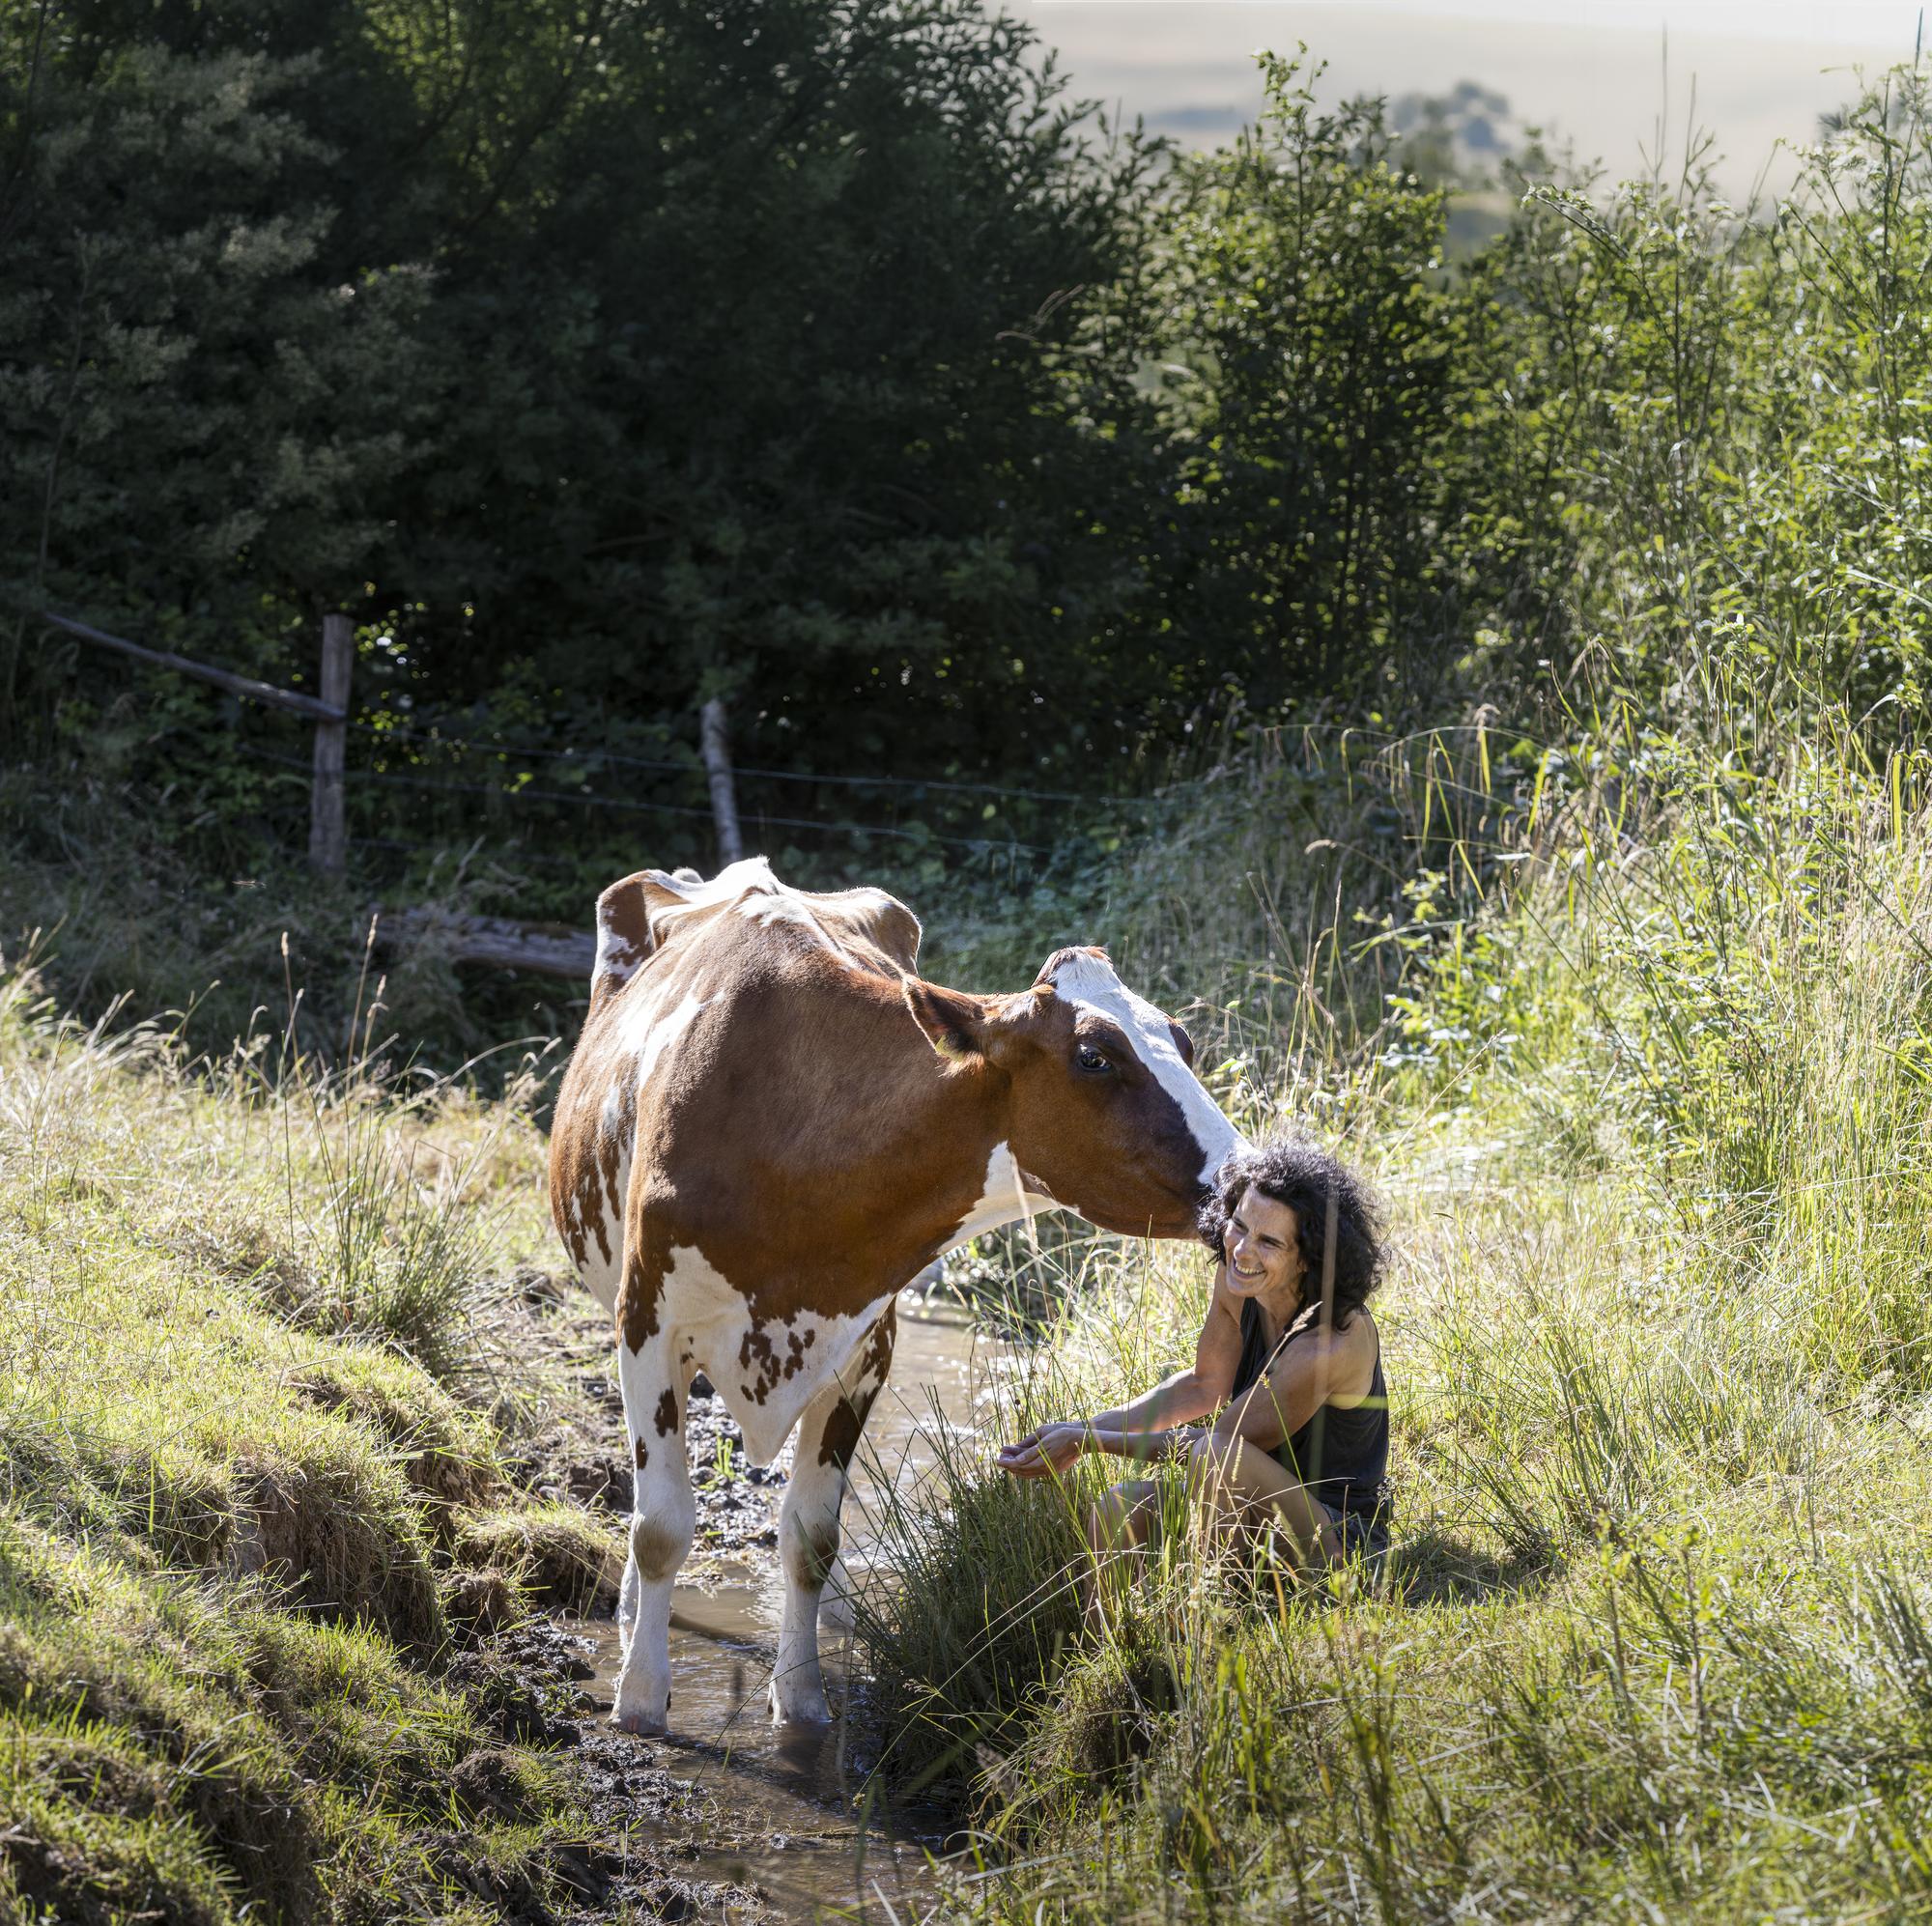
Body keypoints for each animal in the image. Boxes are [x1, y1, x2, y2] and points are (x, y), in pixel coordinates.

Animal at [547, 857, 1245, 1733]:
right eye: (1094, 1055)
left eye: (1182, 1042)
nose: (1248, 1176)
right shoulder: (648, 1323)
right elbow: (661, 1527)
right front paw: (640, 1699)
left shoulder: (865, 1348)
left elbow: (811, 1538)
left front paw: (802, 1700)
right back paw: (631, 1614)